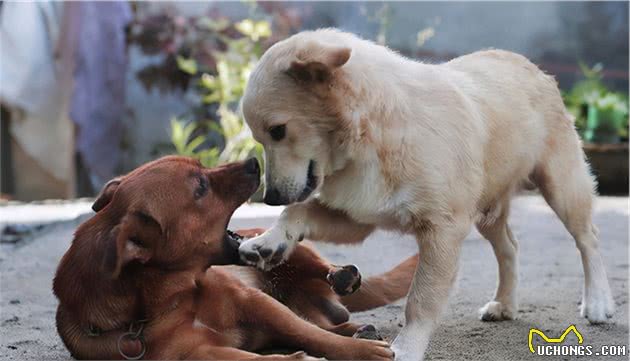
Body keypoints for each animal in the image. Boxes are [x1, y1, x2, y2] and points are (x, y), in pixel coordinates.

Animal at [54, 156, 418, 358]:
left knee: (317, 286)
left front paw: (359, 352)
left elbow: (311, 336)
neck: (168, 298)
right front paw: (297, 358)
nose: (254, 161)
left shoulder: (255, 302)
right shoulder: (200, 353)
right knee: (326, 322)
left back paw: (341, 277)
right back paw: (357, 327)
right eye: (201, 187)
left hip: (283, 246)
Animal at [237, 28, 612, 360]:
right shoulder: (357, 219)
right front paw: (269, 241)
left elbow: (421, 300)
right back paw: (505, 303)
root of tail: (527, 63)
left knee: (588, 238)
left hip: (562, 188)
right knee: (509, 247)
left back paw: (597, 302)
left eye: (278, 131)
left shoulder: (442, 231)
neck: (374, 134)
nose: (270, 197)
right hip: (486, 212)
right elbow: (296, 212)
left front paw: (406, 348)